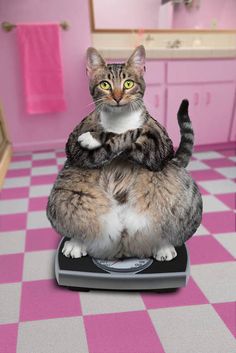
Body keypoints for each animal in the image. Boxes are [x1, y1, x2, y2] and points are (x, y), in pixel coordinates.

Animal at [46, 45, 203, 260]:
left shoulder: (159, 145)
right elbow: (106, 141)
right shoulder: (74, 146)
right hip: (63, 195)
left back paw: (163, 247)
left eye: (128, 83)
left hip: (187, 198)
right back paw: (76, 244)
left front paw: (94, 137)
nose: (118, 96)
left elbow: (128, 134)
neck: (119, 119)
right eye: (105, 85)